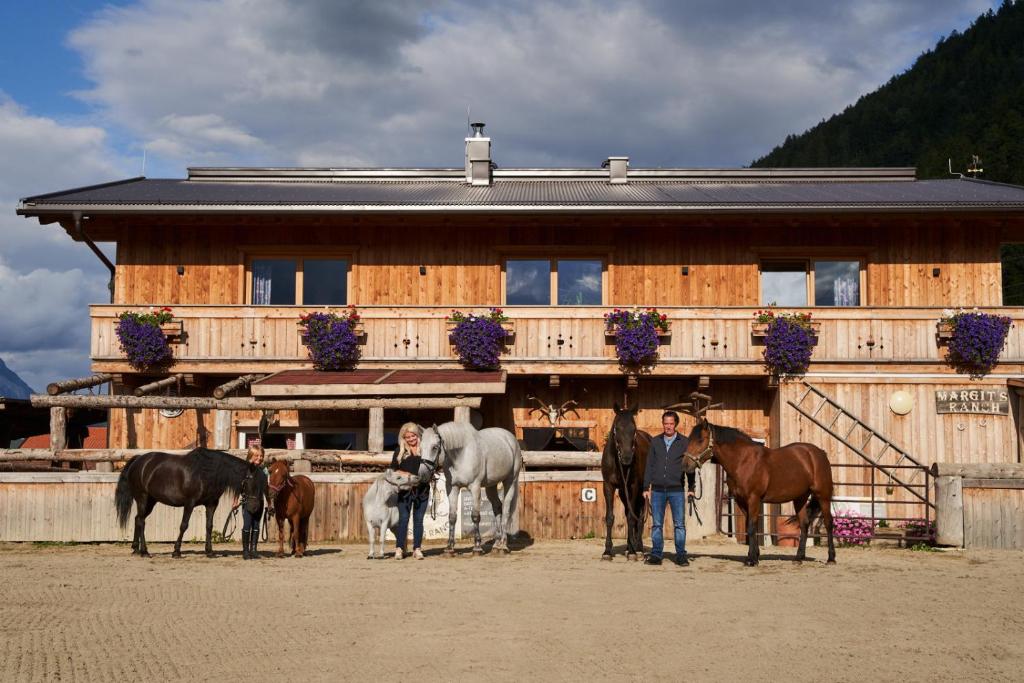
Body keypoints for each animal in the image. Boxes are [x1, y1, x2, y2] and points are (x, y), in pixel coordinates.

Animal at [114, 450, 266, 557]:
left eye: (261, 485)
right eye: (250, 482)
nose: (254, 508)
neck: (206, 473)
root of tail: (138, 460)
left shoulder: (211, 504)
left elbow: (209, 526)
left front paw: (209, 552)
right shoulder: (189, 503)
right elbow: (184, 525)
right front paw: (176, 551)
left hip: (151, 501)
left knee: (137, 519)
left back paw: (136, 549)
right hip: (143, 499)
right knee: (141, 521)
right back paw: (144, 551)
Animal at [415, 421, 524, 557]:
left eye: (435, 447)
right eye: (420, 448)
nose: (422, 475)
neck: (461, 455)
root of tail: (510, 438)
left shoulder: (475, 487)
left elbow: (475, 516)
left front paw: (477, 547)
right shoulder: (452, 488)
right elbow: (452, 517)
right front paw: (449, 548)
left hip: (510, 481)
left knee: (506, 509)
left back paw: (503, 545)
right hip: (491, 486)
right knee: (497, 507)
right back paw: (496, 544)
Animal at [598, 405, 655, 561]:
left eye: (633, 428)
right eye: (617, 428)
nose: (627, 457)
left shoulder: (634, 487)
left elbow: (631, 517)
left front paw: (633, 553)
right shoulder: (608, 486)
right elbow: (610, 517)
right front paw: (607, 551)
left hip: (641, 491)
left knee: (639, 517)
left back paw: (638, 549)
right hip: (624, 493)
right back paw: (630, 547)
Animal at [684, 421, 835, 565]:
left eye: (700, 440)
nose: (685, 464)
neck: (743, 460)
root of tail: (820, 453)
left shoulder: (753, 499)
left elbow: (751, 527)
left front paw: (752, 560)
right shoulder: (741, 501)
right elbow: (750, 527)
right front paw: (753, 556)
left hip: (823, 496)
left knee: (828, 523)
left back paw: (831, 558)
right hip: (800, 498)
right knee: (804, 524)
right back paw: (798, 558)